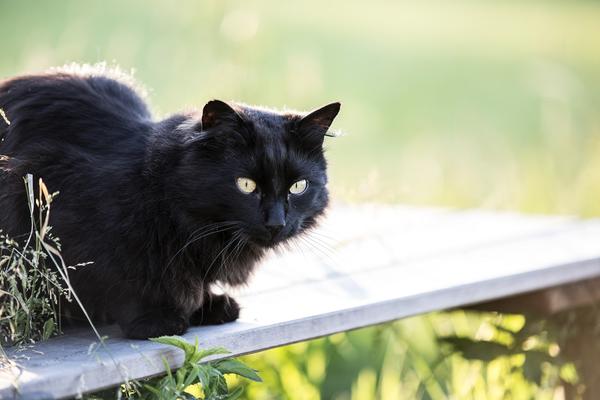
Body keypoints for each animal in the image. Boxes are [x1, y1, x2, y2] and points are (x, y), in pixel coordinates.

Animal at [0, 65, 338, 338]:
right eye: (246, 185)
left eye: (298, 187)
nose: (276, 222)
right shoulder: (50, 195)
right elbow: (120, 277)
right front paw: (154, 320)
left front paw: (207, 305)